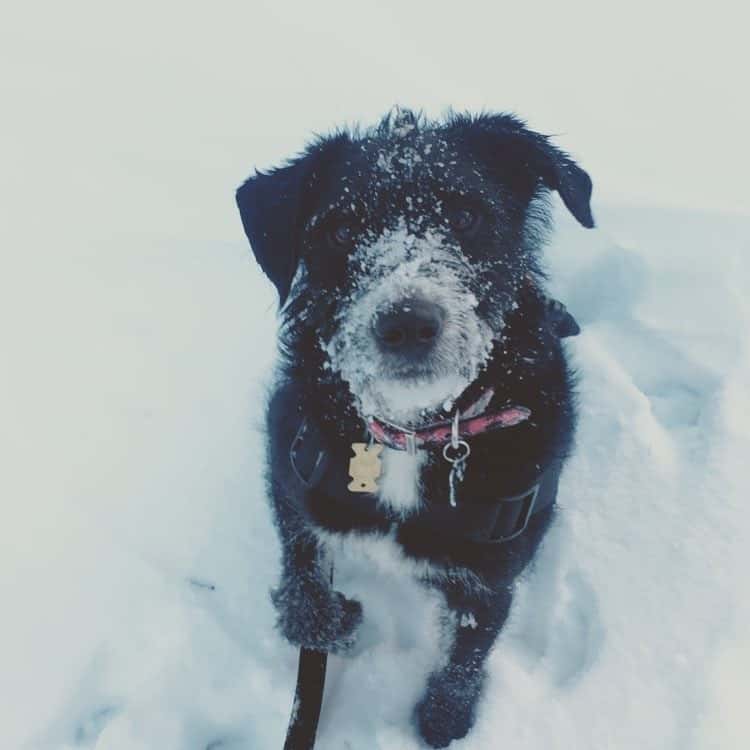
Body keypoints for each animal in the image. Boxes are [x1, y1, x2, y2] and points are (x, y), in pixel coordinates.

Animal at [238, 108, 596, 748]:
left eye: (467, 216)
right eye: (338, 231)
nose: (406, 324)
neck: (413, 431)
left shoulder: (492, 572)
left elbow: (471, 646)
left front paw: (445, 716)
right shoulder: (292, 469)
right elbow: (302, 572)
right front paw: (329, 620)